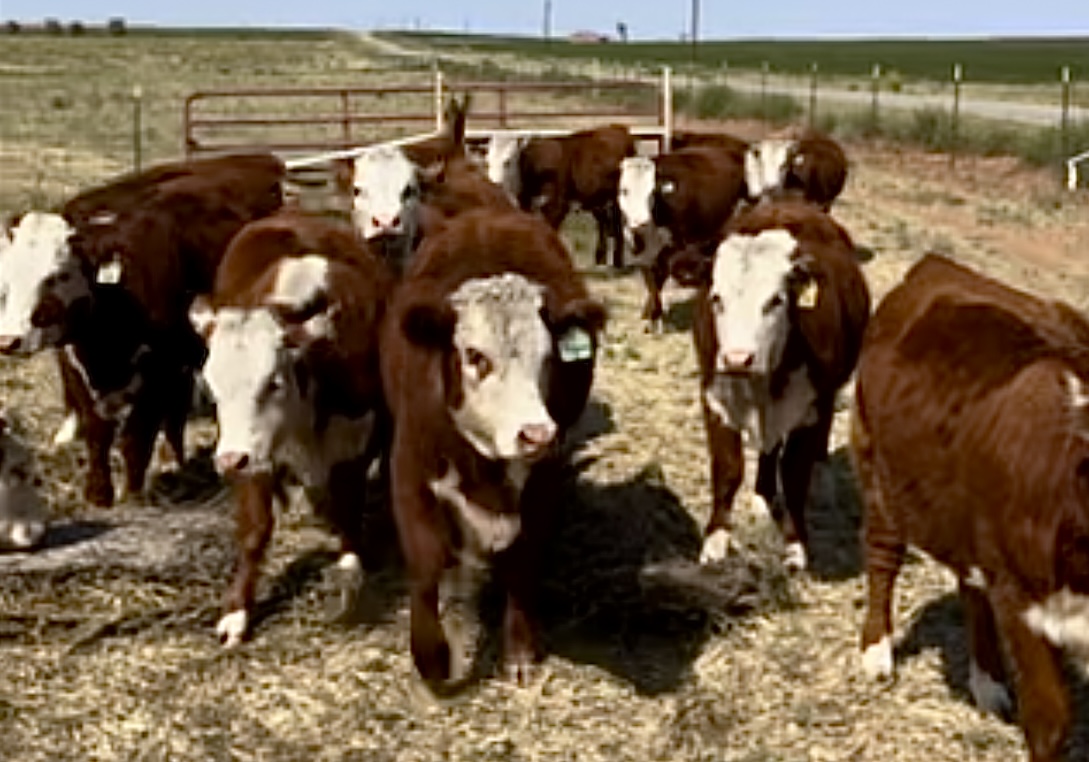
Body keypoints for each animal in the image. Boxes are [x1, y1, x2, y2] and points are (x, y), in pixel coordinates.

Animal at [189, 210, 394, 648]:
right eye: (212, 387)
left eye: (273, 382)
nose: (228, 461)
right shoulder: (255, 454)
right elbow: (254, 530)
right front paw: (236, 611)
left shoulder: (355, 439)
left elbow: (349, 510)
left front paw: (350, 574)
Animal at [381, 206, 605, 683]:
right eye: (475, 356)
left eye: (548, 358)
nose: (536, 433)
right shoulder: (409, 469)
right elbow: (425, 561)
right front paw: (431, 657)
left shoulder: (544, 479)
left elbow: (523, 561)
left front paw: (519, 650)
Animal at [622, 145, 749, 330]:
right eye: (624, 190)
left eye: (652, 192)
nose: (640, 222)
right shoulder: (640, 250)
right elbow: (651, 282)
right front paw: (648, 316)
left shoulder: (672, 248)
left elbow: (659, 280)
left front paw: (655, 317)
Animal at [688, 199, 866, 570]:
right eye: (716, 299)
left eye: (775, 301)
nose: (737, 359)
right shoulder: (714, 398)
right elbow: (728, 469)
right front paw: (716, 540)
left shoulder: (810, 407)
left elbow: (796, 476)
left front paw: (795, 544)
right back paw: (762, 493)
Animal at [849, 254, 1089, 762]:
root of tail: (940, 266)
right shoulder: (1020, 598)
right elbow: (1050, 720)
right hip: (877, 469)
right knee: (883, 558)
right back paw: (876, 653)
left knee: (970, 586)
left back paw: (987, 682)